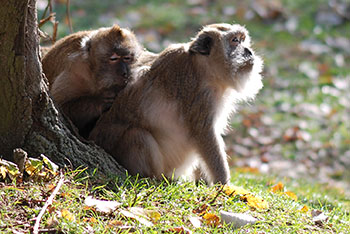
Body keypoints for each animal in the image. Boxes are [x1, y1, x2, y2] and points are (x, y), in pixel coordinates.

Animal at [89, 23, 264, 185]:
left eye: (243, 39)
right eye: (235, 41)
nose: (248, 51)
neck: (202, 68)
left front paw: (204, 182)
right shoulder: (201, 96)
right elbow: (204, 134)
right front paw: (224, 185)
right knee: (137, 135)